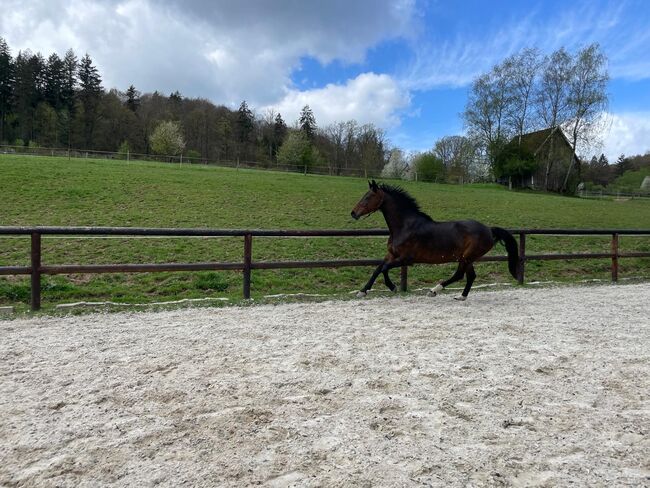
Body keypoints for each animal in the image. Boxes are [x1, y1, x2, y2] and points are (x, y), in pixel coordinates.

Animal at [350, 180, 516, 300]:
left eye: (368, 197)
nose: (353, 213)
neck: (404, 226)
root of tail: (489, 229)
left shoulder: (406, 259)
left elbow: (384, 269)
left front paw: (393, 287)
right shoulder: (391, 255)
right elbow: (378, 269)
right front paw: (362, 291)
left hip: (467, 257)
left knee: (461, 275)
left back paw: (435, 291)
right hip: (467, 258)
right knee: (468, 276)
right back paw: (459, 296)